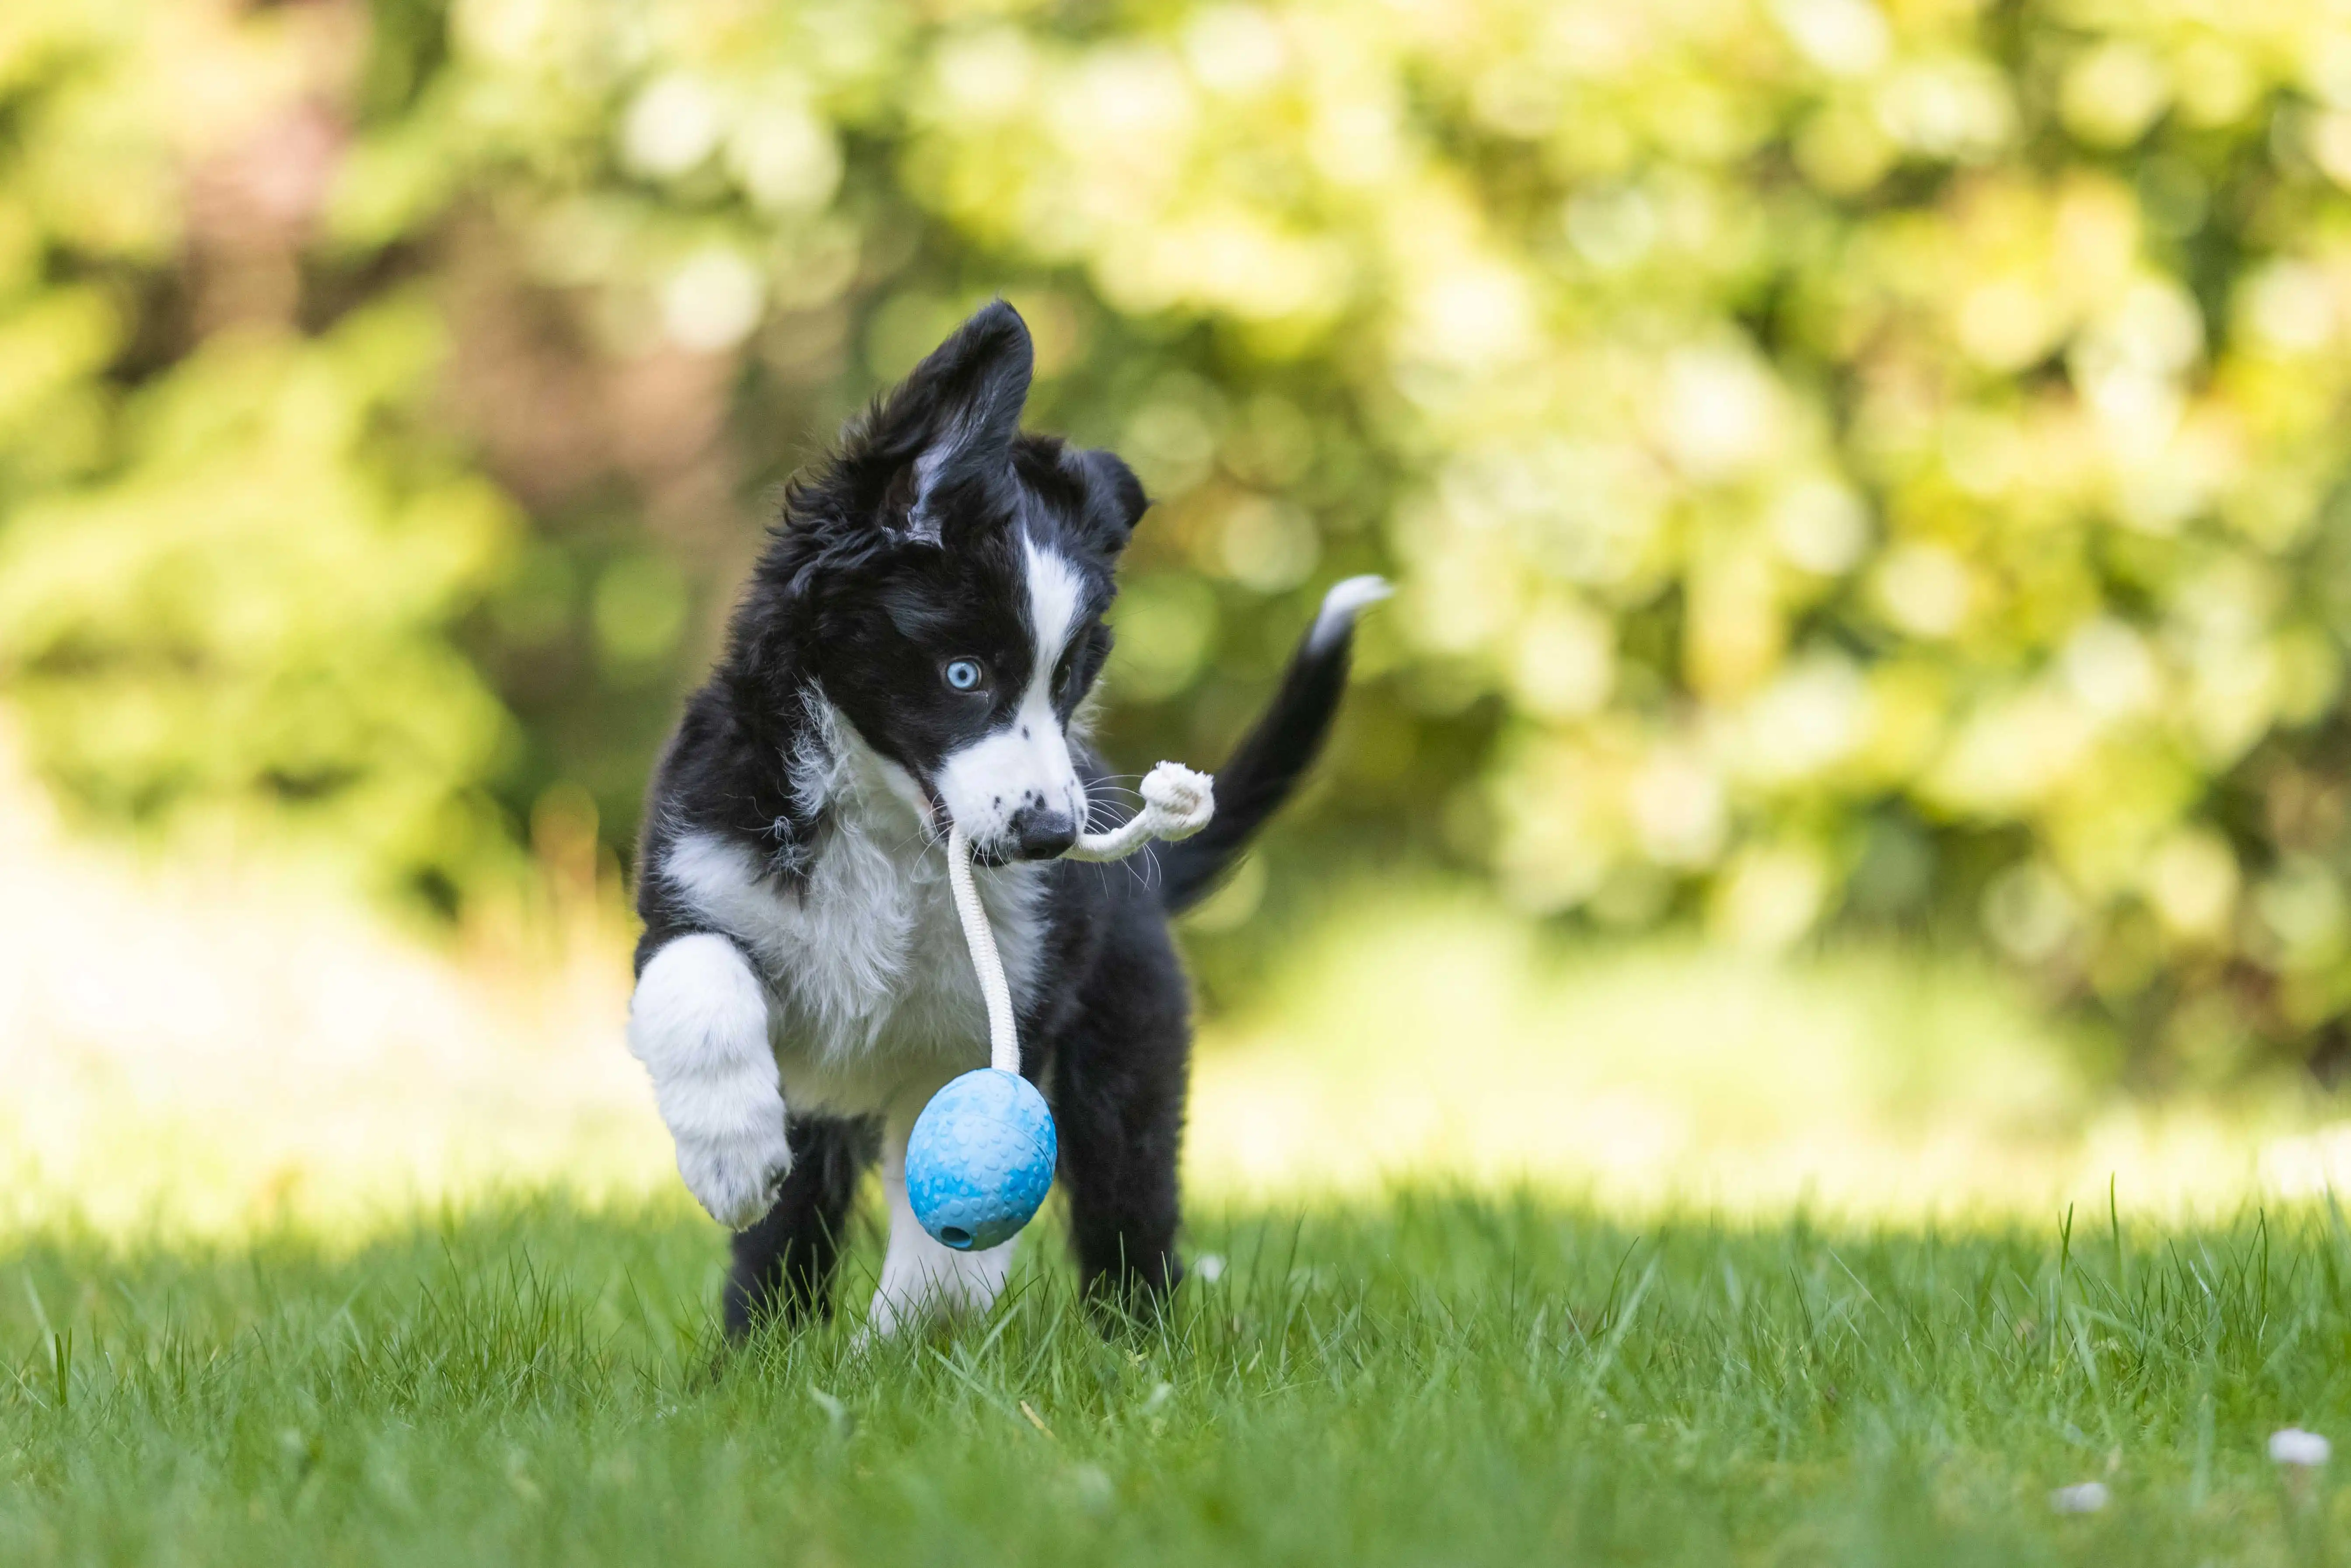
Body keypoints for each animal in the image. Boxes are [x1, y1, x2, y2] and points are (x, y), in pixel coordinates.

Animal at [635, 303, 1382, 1335]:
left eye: (1066, 680)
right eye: (963, 674)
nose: (1051, 839)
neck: (890, 837)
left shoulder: (998, 1020)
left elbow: (951, 1231)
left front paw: (901, 1349)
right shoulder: (692, 879)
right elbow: (694, 982)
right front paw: (730, 1155)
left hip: (1125, 1048)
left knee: (1129, 1210)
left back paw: (1137, 1350)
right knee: (784, 1241)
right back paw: (752, 1355)